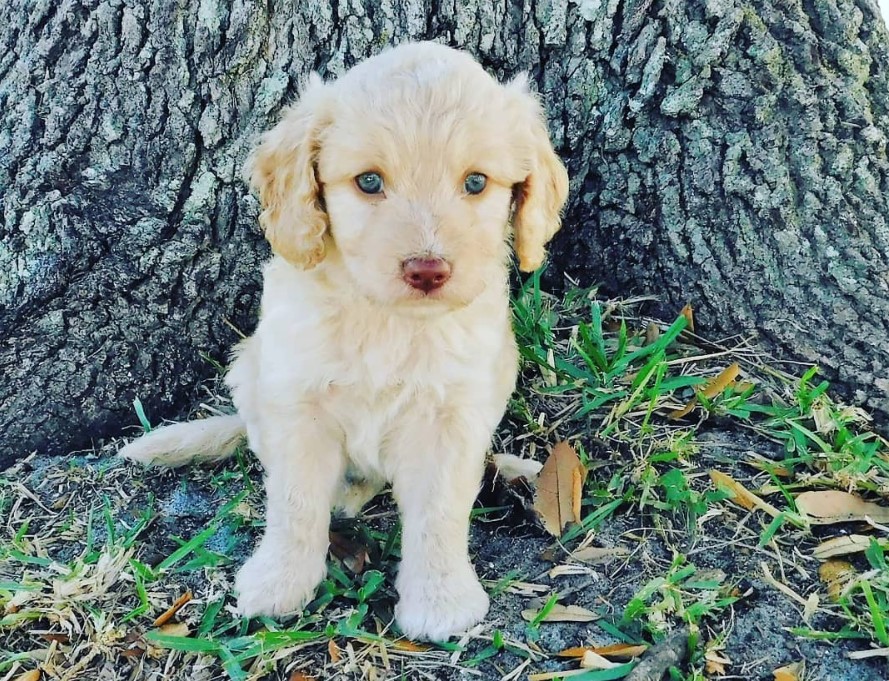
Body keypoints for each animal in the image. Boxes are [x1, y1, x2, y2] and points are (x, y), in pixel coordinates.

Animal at [119, 41, 568, 636]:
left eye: (476, 183)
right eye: (369, 182)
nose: (428, 271)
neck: (386, 318)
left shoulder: (452, 412)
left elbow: (441, 508)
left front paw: (440, 599)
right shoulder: (295, 402)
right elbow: (294, 500)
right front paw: (279, 581)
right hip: (249, 373)